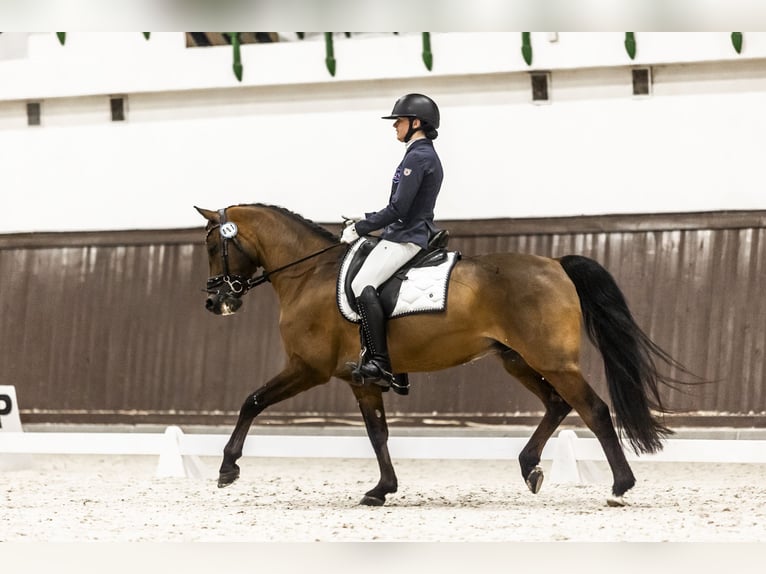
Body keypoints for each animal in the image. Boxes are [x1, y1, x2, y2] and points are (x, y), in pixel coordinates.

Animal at [196, 203, 690, 507]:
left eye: (211, 245)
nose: (216, 302)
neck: (309, 273)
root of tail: (555, 264)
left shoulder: (307, 369)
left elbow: (252, 401)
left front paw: (227, 467)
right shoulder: (360, 379)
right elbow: (378, 434)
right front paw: (382, 489)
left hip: (552, 362)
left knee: (594, 410)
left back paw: (620, 486)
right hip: (516, 359)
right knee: (556, 405)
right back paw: (530, 468)